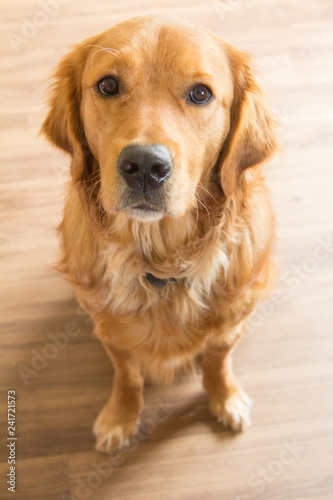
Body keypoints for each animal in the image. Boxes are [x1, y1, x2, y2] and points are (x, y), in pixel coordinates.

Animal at [41, 15, 278, 454]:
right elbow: (128, 376)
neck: (159, 260)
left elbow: (218, 361)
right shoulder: (110, 333)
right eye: (108, 85)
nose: (145, 165)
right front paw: (120, 416)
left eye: (200, 93)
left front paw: (225, 398)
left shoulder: (230, 325)